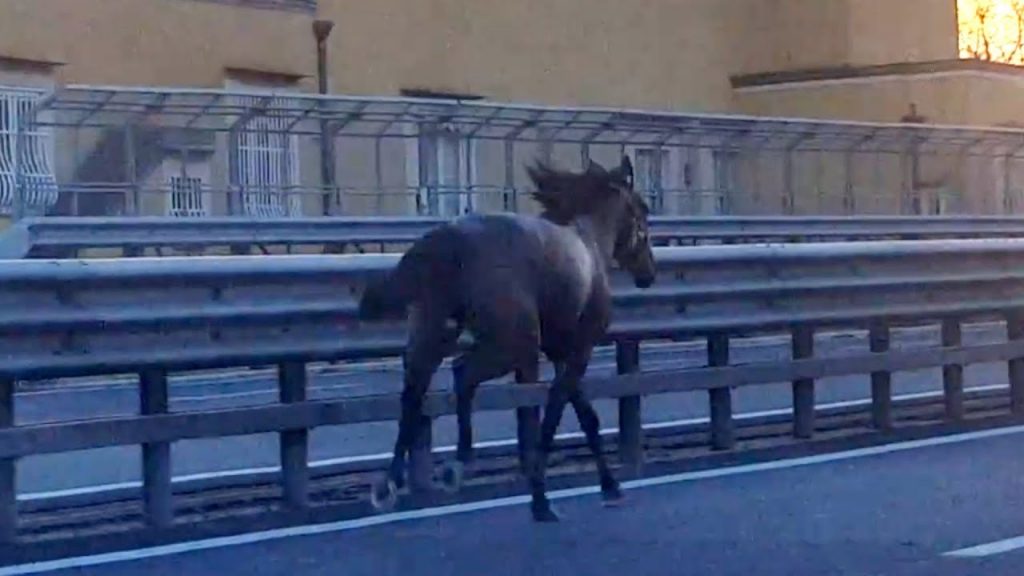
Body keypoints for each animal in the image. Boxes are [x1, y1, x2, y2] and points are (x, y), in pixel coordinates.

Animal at [357, 155, 656, 522]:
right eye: (641, 212)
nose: (649, 273)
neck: (592, 241)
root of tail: (443, 243)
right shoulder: (576, 350)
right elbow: (551, 416)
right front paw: (542, 496)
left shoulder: (560, 352)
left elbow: (585, 416)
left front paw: (610, 485)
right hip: (510, 344)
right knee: (462, 373)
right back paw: (461, 465)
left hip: (432, 332)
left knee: (414, 392)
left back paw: (392, 482)